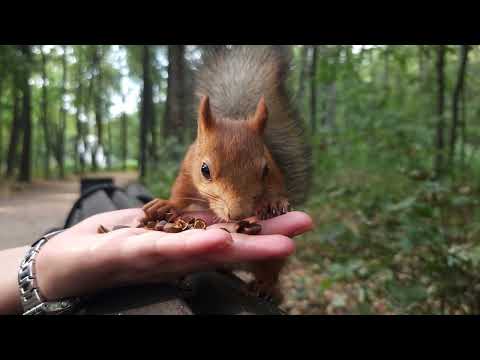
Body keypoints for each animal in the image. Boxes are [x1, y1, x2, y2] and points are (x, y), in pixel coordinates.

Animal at [142, 45, 312, 304]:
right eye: (205, 170)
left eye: (264, 170)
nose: (238, 214)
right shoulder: (187, 168)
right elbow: (180, 192)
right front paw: (165, 205)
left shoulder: (274, 171)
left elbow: (277, 187)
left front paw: (274, 202)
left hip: (274, 256)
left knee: (270, 271)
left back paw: (267, 288)